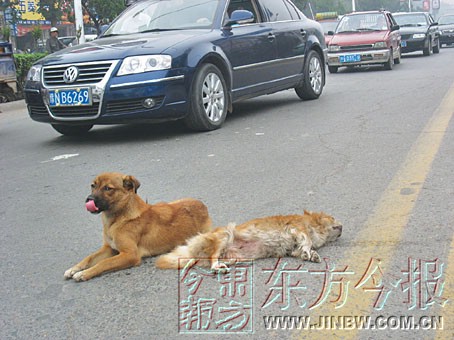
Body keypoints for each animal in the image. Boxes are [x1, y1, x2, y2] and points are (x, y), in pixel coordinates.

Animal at [64, 173, 213, 282]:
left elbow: (104, 263)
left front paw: (85, 273)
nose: (88, 199)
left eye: (108, 188)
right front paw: (74, 269)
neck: (118, 218)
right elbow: (89, 258)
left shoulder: (130, 254)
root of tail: (203, 206)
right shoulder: (109, 248)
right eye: (92, 186)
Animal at [156, 211, 340, 272]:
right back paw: (217, 267)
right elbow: (307, 240)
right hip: (225, 235)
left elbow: (302, 249)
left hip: (235, 256)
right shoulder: (297, 227)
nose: (343, 227)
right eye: (332, 217)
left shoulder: (295, 246)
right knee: (212, 258)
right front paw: (310, 251)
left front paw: (310, 254)